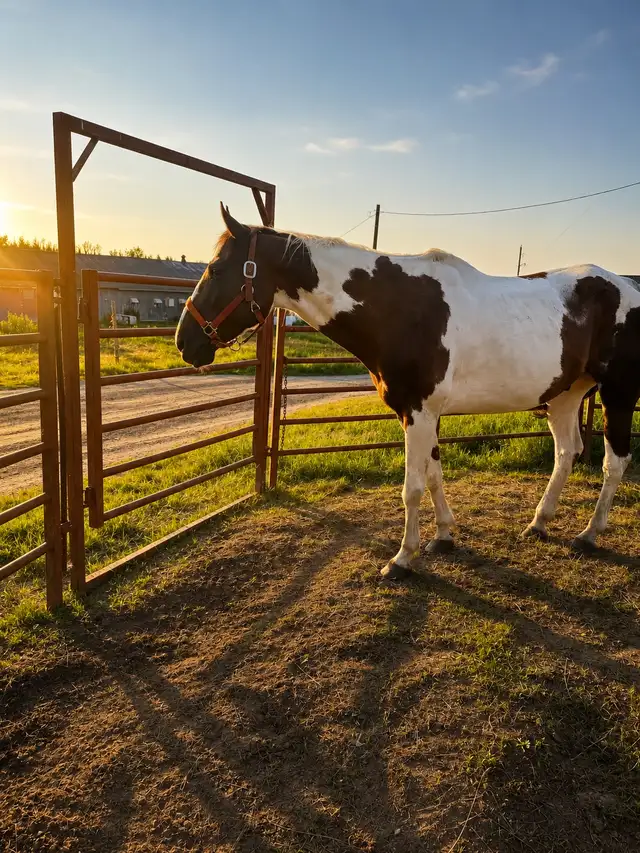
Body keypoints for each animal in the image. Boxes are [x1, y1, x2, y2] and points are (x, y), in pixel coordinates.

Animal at [175, 204, 640, 578]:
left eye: (216, 270)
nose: (184, 342)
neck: (396, 310)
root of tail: (627, 287)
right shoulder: (422, 414)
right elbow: (433, 476)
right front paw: (444, 537)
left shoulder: (417, 412)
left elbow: (412, 487)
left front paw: (402, 559)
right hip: (565, 395)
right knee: (566, 453)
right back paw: (539, 523)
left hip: (617, 394)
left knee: (614, 463)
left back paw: (589, 534)